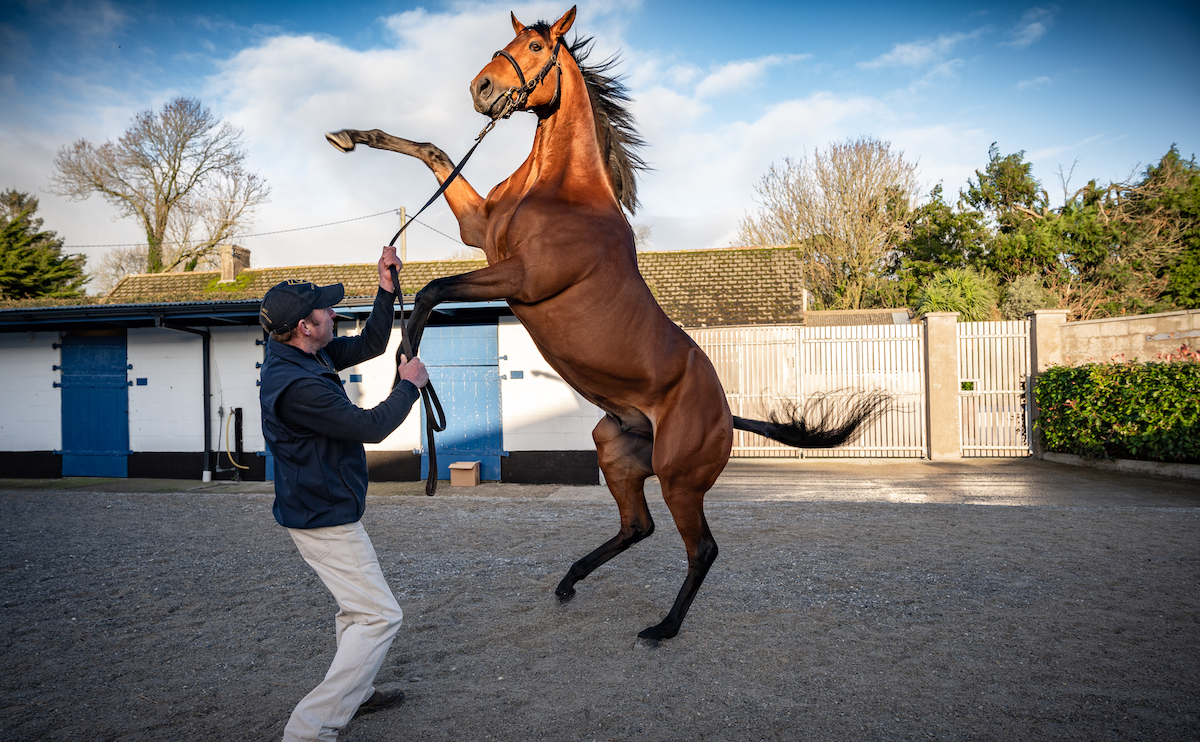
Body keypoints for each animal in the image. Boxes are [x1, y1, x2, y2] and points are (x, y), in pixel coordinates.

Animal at [324, 7, 888, 643]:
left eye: (537, 46)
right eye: (505, 41)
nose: (482, 90)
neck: (561, 191)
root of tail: (724, 413)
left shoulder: (522, 277)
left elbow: (429, 292)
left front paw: (408, 367)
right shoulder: (480, 232)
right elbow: (433, 151)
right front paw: (349, 135)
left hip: (680, 479)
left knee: (702, 549)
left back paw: (662, 628)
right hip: (615, 454)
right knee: (637, 527)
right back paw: (570, 581)